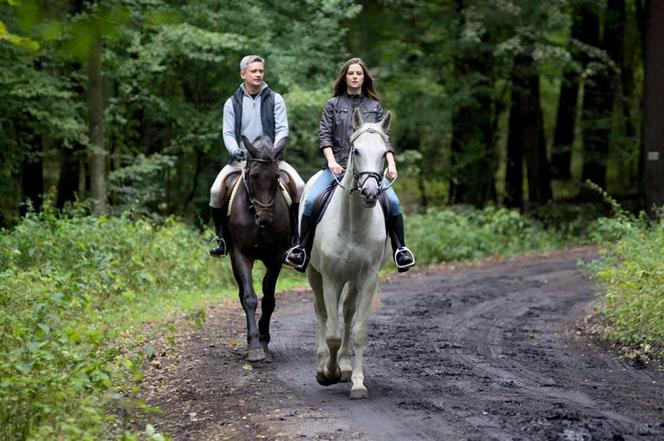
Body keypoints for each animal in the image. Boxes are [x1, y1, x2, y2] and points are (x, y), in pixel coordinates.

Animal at [226, 135, 290, 360]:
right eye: (253, 176)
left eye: (277, 176)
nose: (264, 219)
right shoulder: (241, 255)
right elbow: (249, 298)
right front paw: (254, 346)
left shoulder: (277, 256)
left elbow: (268, 298)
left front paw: (263, 340)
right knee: (242, 294)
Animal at [300, 107, 390, 398]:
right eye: (356, 150)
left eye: (384, 153)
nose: (370, 193)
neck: (353, 222)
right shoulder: (331, 278)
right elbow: (331, 333)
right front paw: (328, 373)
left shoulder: (368, 278)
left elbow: (359, 330)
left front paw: (357, 382)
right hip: (315, 273)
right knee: (322, 314)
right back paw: (323, 363)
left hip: (354, 280)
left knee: (348, 315)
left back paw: (347, 366)